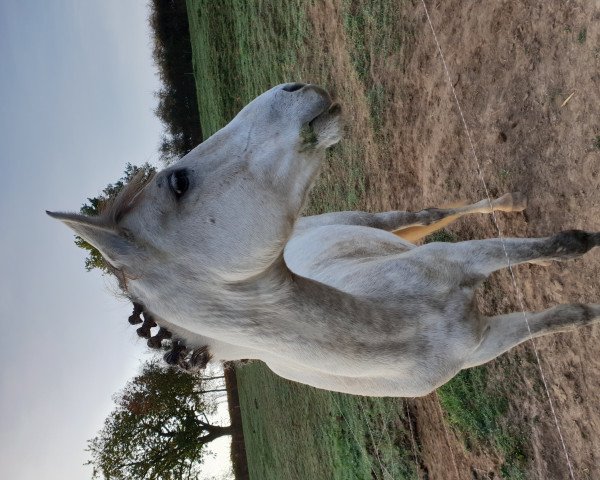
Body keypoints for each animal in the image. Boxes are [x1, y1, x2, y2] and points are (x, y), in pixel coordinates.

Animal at [49, 85, 600, 398]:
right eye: (179, 183)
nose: (295, 85)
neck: (395, 329)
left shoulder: (468, 263)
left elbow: (557, 247)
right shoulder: (488, 339)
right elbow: (564, 312)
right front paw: (590, 311)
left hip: (376, 218)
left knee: (433, 214)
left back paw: (507, 201)